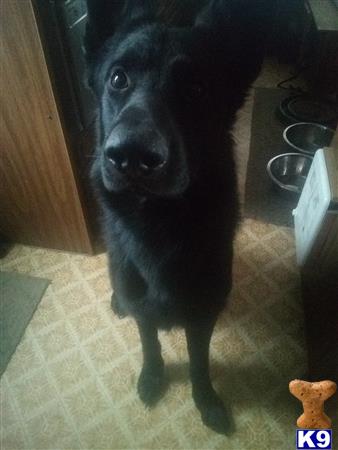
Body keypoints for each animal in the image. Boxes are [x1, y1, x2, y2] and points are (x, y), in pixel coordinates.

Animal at [84, 0, 266, 436]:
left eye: (196, 89)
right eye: (118, 78)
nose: (131, 156)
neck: (156, 221)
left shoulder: (201, 317)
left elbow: (200, 363)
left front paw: (207, 401)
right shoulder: (143, 310)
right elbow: (150, 344)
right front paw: (153, 377)